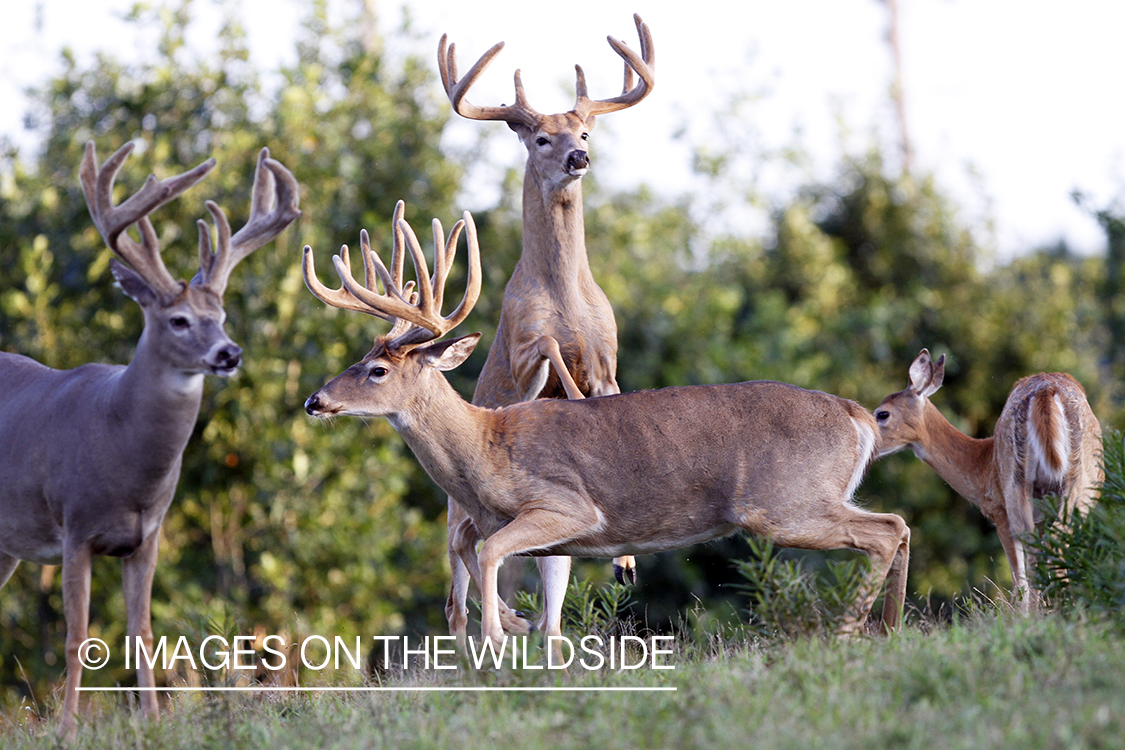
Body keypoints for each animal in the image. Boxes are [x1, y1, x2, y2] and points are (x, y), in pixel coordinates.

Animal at [0, 142, 301, 737]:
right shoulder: (75, 527)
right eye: (179, 319)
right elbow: (76, 637)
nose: (229, 353)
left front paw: (154, 721)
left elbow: (141, 632)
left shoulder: (146, 536)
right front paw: (67, 730)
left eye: (221, 314)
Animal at [301, 206, 913, 652]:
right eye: (360, 359)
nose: (315, 401)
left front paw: (499, 637)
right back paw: (889, 629)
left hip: (786, 502)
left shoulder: (566, 504)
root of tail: (858, 416)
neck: (484, 449)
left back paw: (848, 633)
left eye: (377, 371)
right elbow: (502, 575)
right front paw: (517, 632)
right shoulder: (535, 534)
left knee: (887, 528)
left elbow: (493, 552)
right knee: (899, 526)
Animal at [434, 11, 657, 647]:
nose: (578, 159)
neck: (567, 296)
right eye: (540, 138)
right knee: (456, 593)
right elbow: (556, 351)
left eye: (584, 134)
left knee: (549, 594)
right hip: (458, 516)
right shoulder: (522, 345)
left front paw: (627, 563)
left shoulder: (609, 358)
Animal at [873, 348, 1102, 611]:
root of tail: (1046, 391)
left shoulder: (997, 509)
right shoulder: (1042, 514)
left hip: (1020, 487)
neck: (982, 467)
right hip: (1066, 484)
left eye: (882, 413)